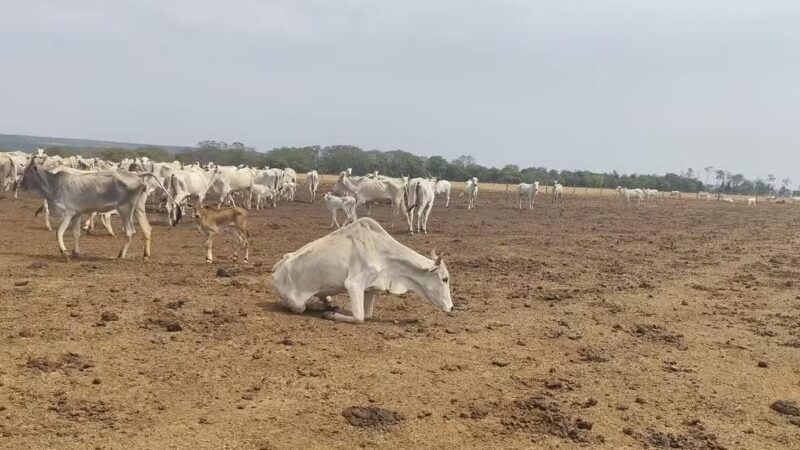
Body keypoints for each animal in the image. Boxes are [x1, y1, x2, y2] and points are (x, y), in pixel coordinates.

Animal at [272, 217, 454, 324]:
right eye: (444, 279)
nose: (451, 307)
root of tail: (276, 270)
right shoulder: (354, 284)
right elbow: (359, 318)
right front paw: (330, 316)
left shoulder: (371, 289)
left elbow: (367, 315)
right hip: (296, 304)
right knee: (299, 307)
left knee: (325, 298)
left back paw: (326, 304)